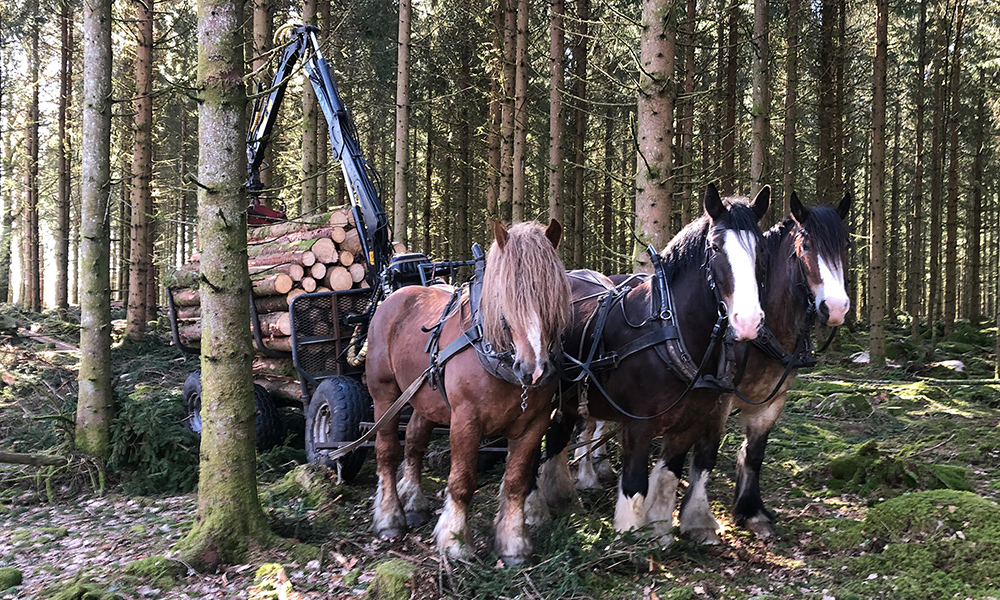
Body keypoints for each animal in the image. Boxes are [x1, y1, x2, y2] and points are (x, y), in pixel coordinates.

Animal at [368, 219, 572, 564]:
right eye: (504, 295)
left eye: (552, 294)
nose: (535, 370)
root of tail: (395, 297)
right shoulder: (466, 421)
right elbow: (462, 481)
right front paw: (455, 541)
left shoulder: (534, 424)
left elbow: (516, 482)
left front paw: (514, 543)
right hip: (385, 396)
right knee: (387, 451)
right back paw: (389, 516)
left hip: (424, 398)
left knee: (414, 442)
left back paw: (413, 500)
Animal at [544, 184, 768, 544]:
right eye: (715, 247)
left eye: (761, 247)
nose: (747, 321)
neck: (670, 330)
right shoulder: (638, 424)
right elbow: (635, 481)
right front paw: (630, 537)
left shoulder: (689, 422)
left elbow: (669, 475)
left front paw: (659, 532)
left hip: (570, 399)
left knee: (557, 436)